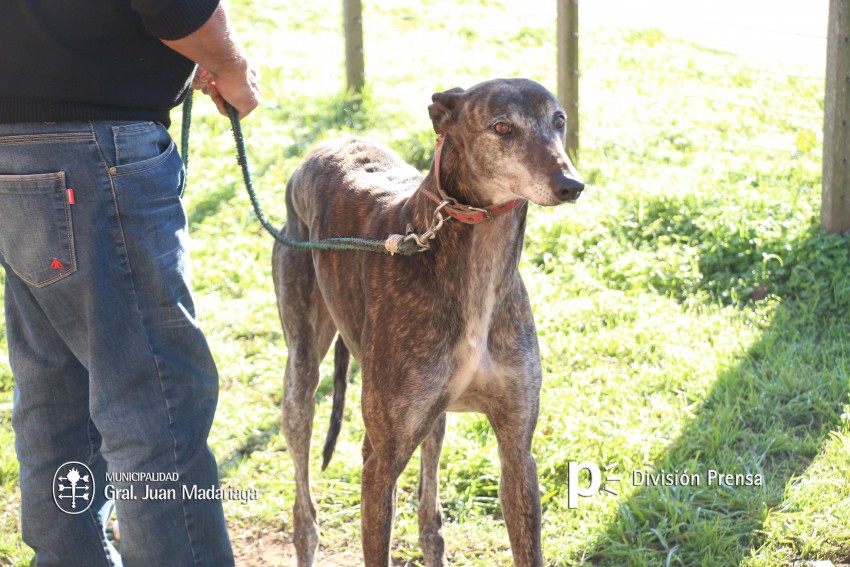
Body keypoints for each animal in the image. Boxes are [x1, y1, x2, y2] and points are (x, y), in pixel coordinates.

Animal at [272, 76, 584, 567]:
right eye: (502, 127)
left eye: (559, 120)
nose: (571, 184)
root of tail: (329, 143)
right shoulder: (379, 461)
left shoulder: (518, 452)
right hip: (301, 375)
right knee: (304, 512)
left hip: (431, 417)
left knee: (429, 519)